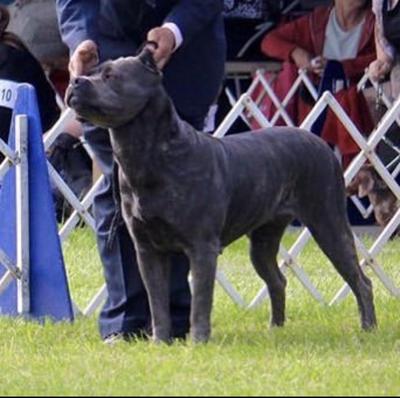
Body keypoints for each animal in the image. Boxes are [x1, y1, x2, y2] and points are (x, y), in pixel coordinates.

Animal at [67, 49, 376, 342]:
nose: (75, 81)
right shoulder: (147, 249)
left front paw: (198, 341)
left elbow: (200, 301)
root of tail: (321, 143)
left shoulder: (202, 247)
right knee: (277, 279)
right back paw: (275, 328)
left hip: (328, 222)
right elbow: (157, 304)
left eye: (110, 76)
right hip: (263, 240)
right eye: (91, 70)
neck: (147, 155)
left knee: (360, 280)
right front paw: (160, 342)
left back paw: (368, 328)